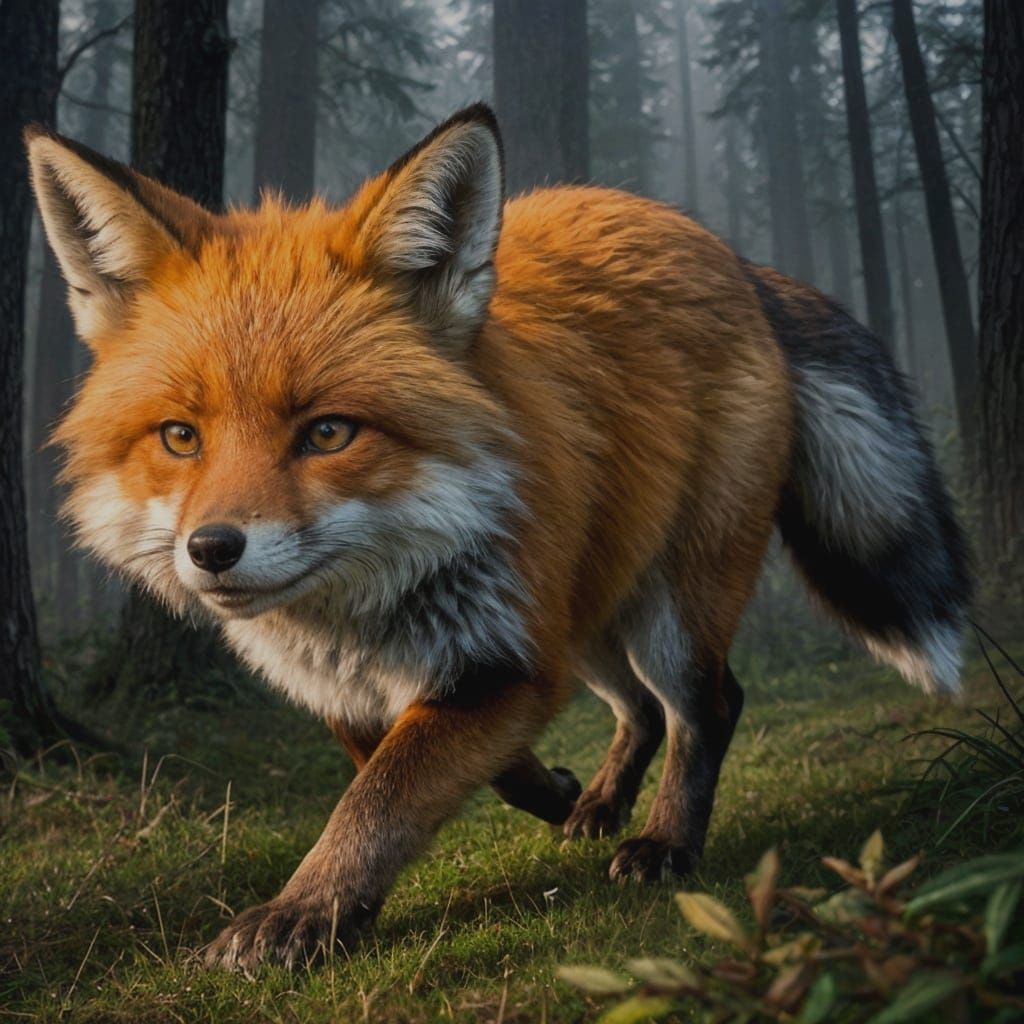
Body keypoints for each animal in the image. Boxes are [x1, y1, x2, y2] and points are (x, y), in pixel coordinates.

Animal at [25, 104, 970, 971]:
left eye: (328, 433)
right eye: (180, 437)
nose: (213, 550)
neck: (362, 617)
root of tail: (724, 252)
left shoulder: (507, 655)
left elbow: (380, 797)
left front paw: (306, 910)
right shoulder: (412, 678)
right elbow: (403, 763)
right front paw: (544, 791)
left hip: (669, 602)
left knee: (705, 703)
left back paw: (666, 841)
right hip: (587, 608)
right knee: (638, 710)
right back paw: (598, 805)